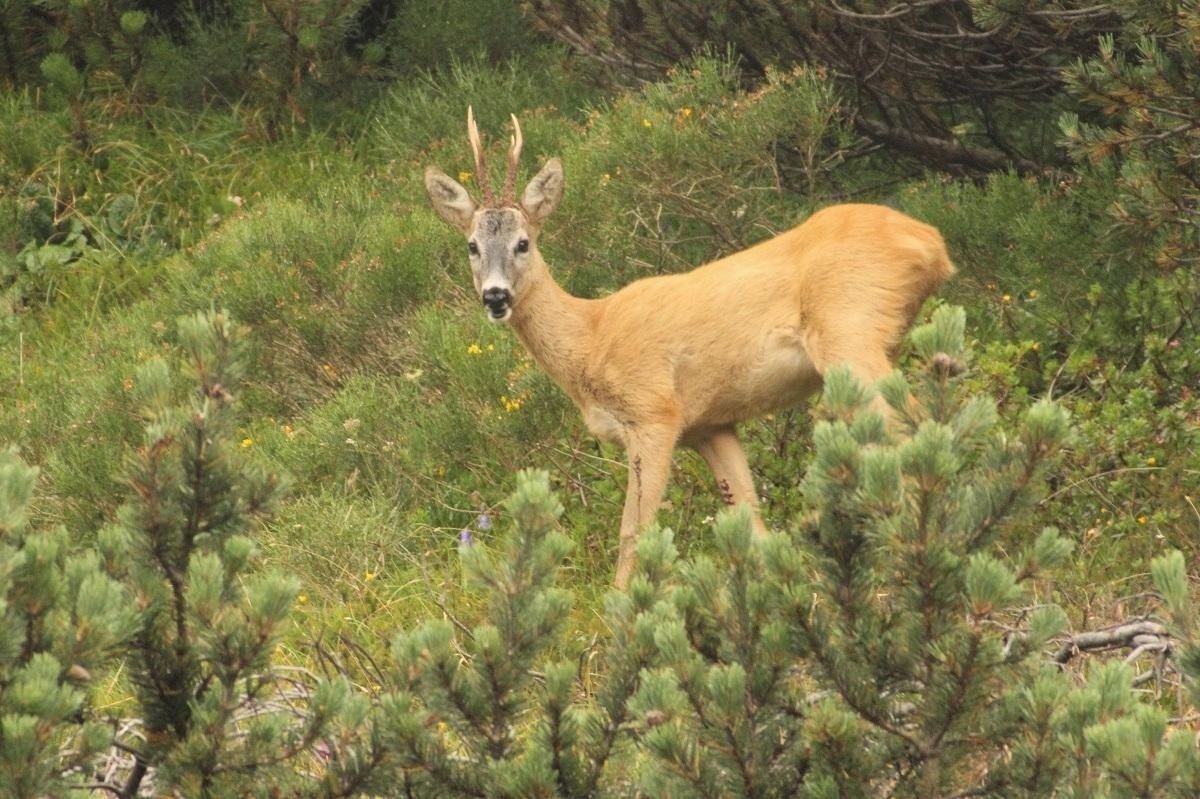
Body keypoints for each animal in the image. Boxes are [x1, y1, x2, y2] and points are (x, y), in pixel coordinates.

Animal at [424, 109, 955, 585]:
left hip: (850, 327)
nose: (496, 296)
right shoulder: (710, 425)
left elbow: (632, 534)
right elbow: (752, 523)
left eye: (524, 243)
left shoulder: (654, 413)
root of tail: (932, 242)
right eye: (472, 245)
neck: (590, 339)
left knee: (917, 429)